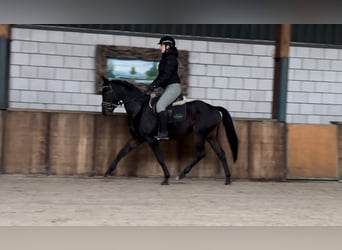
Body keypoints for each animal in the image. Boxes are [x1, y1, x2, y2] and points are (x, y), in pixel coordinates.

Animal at [101, 78, 238, 186]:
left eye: (107, 92)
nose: (104, 111)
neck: (140, 108)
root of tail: (213, 108)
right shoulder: (138, 138)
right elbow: (121, 152)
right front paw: (108, 172)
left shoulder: (151, 139)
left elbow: (160, 157)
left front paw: (166, 178)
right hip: (211, 136)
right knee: (221, 154)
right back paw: (228, 179)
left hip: (200, 135)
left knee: (201, 153)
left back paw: (182, 174)